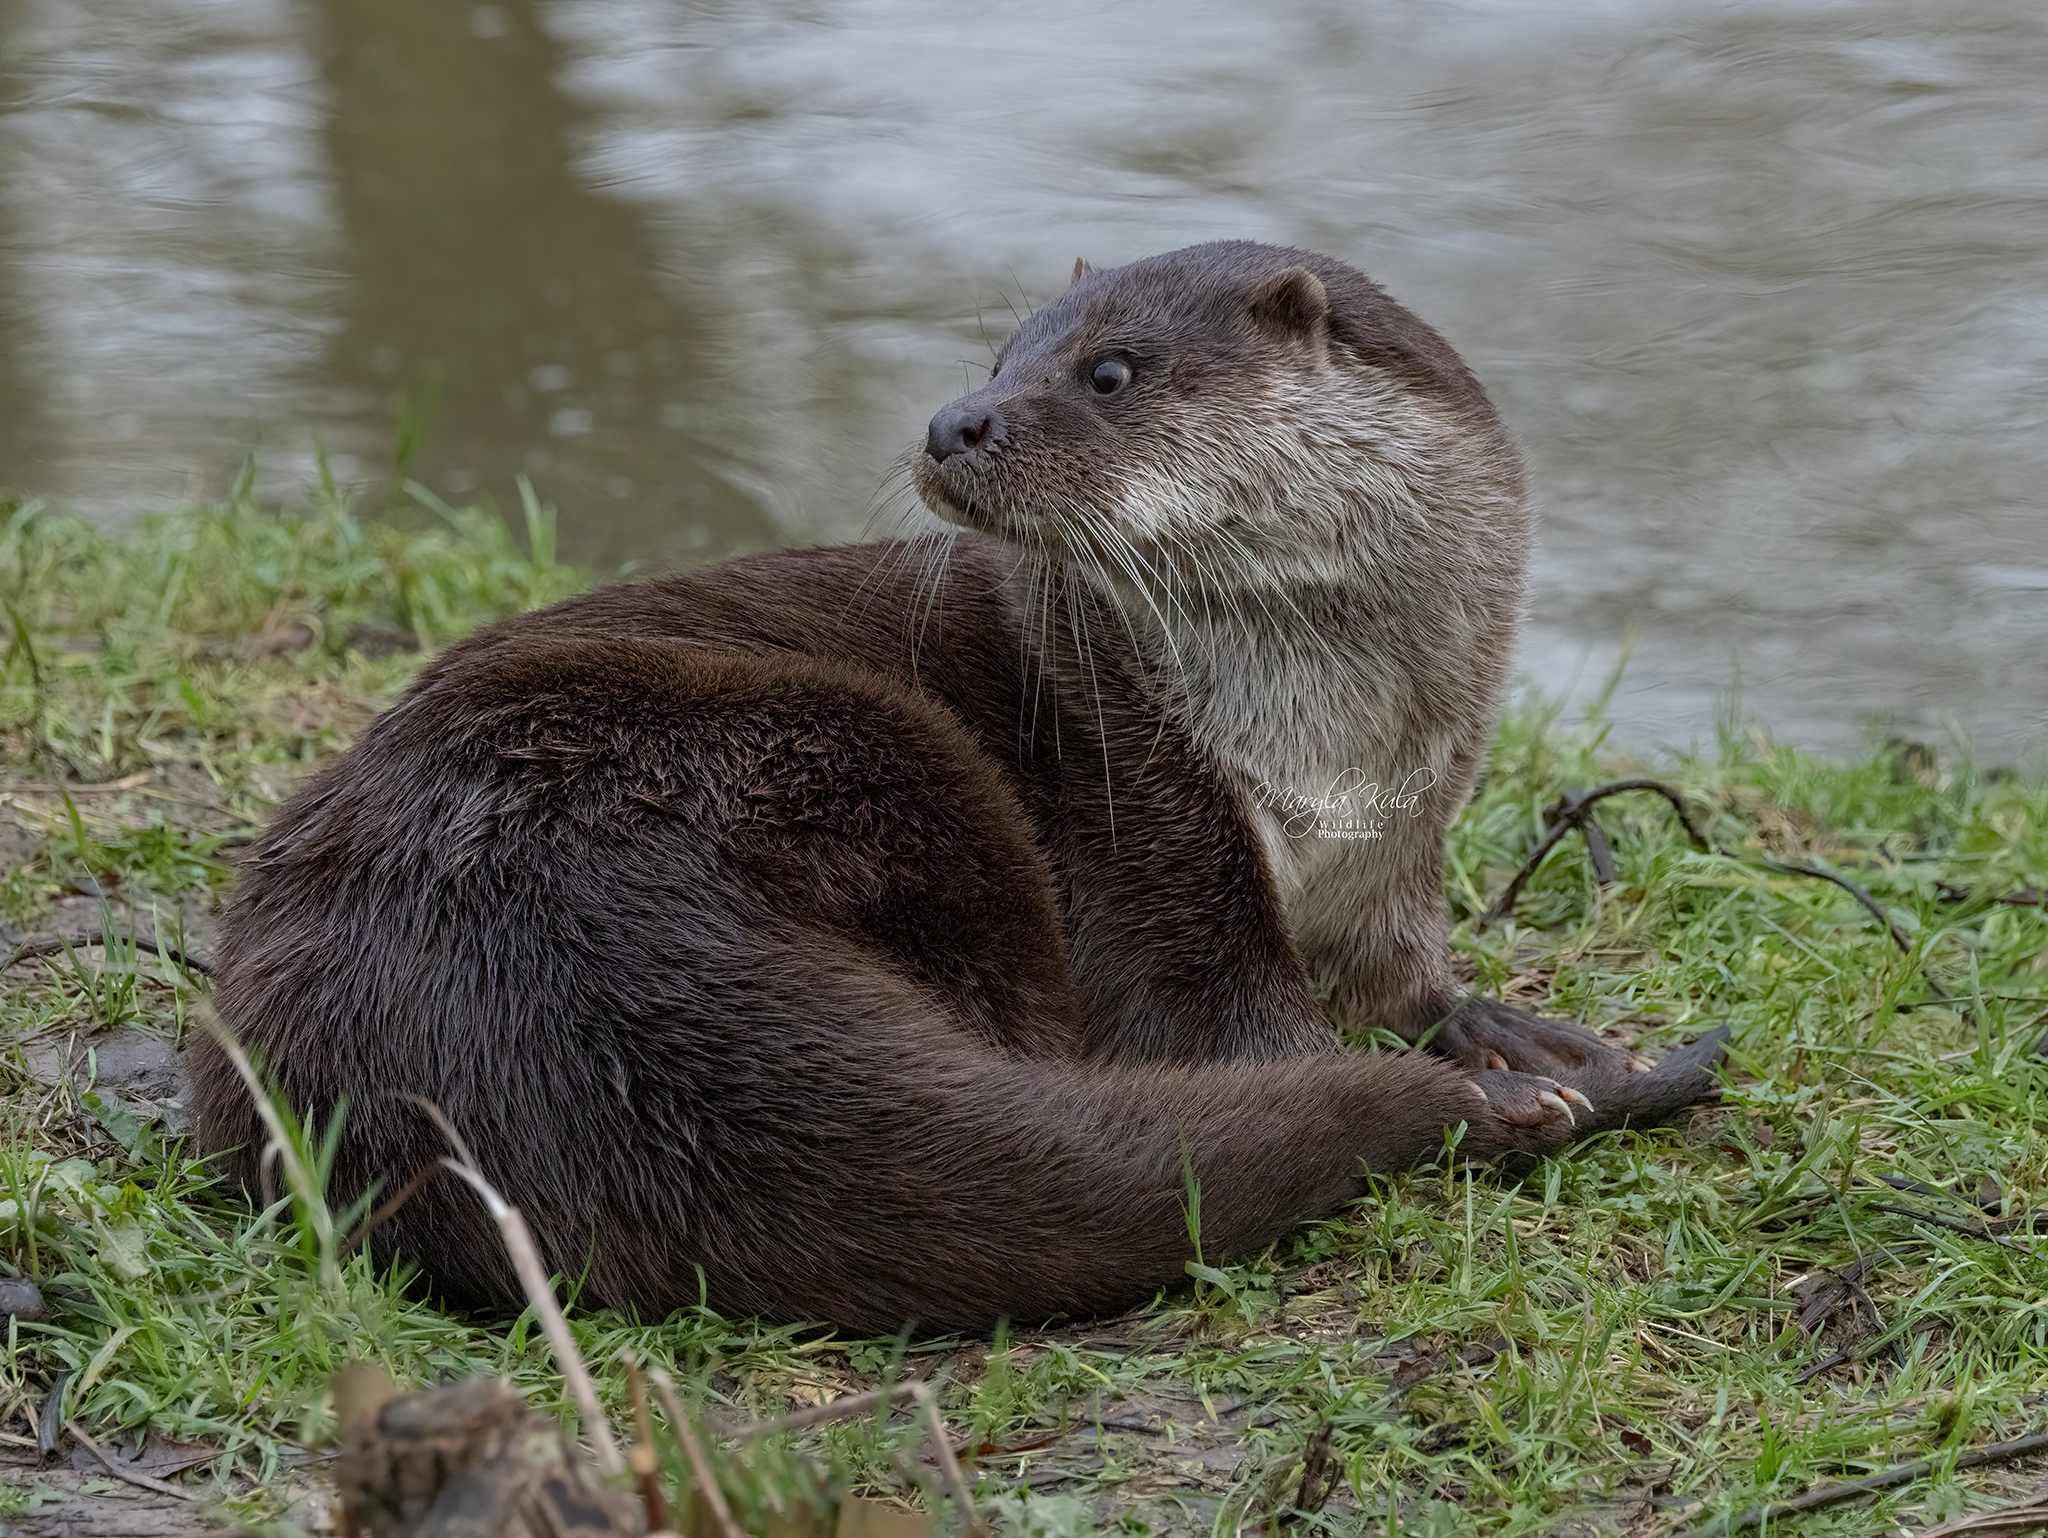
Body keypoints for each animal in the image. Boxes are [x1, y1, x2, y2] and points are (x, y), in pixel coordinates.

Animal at [192, 240, 1728, 1335]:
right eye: (999, 354)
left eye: (1108, 370)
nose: (953, 421)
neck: (1330, 746)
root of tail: (504, 965)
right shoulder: (1145, 806)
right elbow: (1229, 1018)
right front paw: (1481, 1077)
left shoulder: (1408, 825)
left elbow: (1406, 972)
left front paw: (1504, 1029)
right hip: (864, 757)